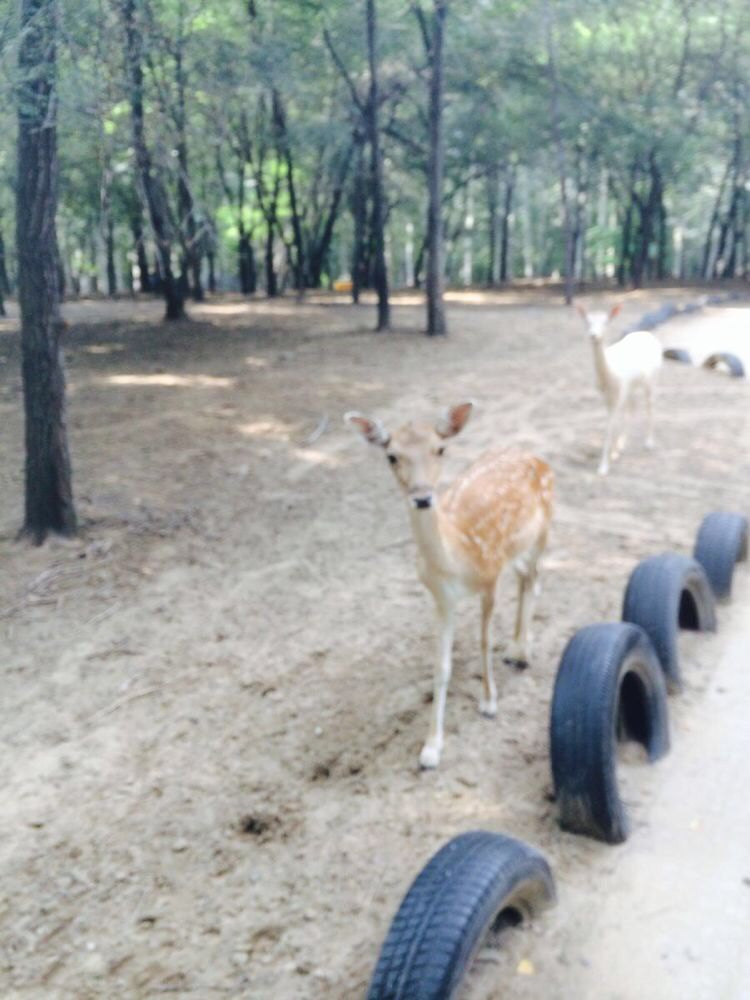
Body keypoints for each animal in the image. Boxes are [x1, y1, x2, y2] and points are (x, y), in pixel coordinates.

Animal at [346, 402, 552, 768]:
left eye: (440, 449)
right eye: (391, 456)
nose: (422, 498)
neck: (456, 560)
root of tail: (534, 455)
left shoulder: (490, 577)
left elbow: (484, 642)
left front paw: (489, 702)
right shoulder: (442, 598)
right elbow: (441, 666)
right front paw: (430, 748)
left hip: (543, 532)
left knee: (535, 578)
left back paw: (521, 651)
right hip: (516, 550)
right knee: (526, 578)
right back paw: (516, 649)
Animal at [580, 302, 664, 474]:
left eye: (606, 322)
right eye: (587, 321)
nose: (593, 335)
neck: (609, 375)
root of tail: (650, 335)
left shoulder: (619, 393)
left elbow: (611, 425)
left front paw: (604, 466)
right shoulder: (608, 396)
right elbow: (611, 423)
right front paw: (615, 452)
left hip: (653, 379)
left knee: (650, 405)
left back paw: (649, 443)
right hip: (632, 386)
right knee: (633, 407)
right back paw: (622, 444)